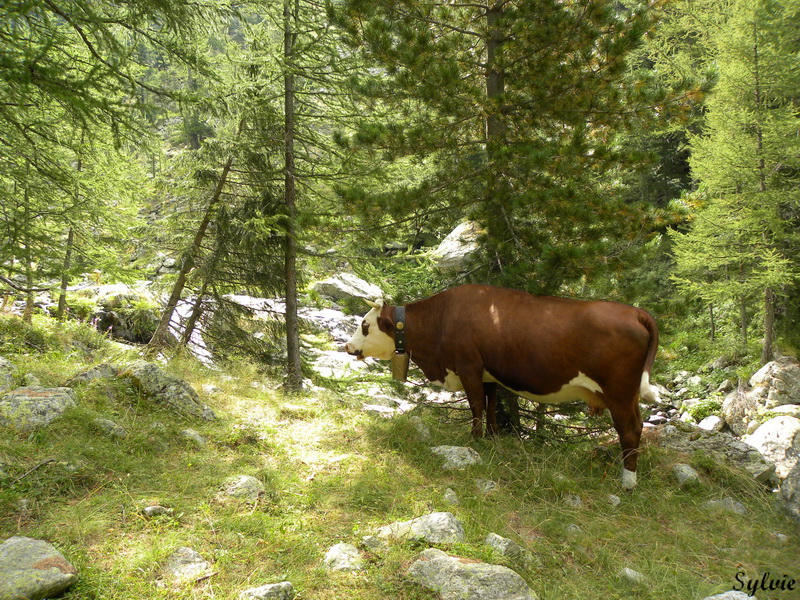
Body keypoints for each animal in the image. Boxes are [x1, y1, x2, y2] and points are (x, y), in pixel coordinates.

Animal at [344, 284, 656, 490]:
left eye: (365, 325)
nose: (347, 346)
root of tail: (636, 312)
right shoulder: (487, 374)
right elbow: (491, 404)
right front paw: (493, 438)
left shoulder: (468, 366)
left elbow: (476, 405)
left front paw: (475, 439)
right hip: (629, 396)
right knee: (638, 425)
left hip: (618, 392)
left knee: (629, 430)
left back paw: (628, 482)